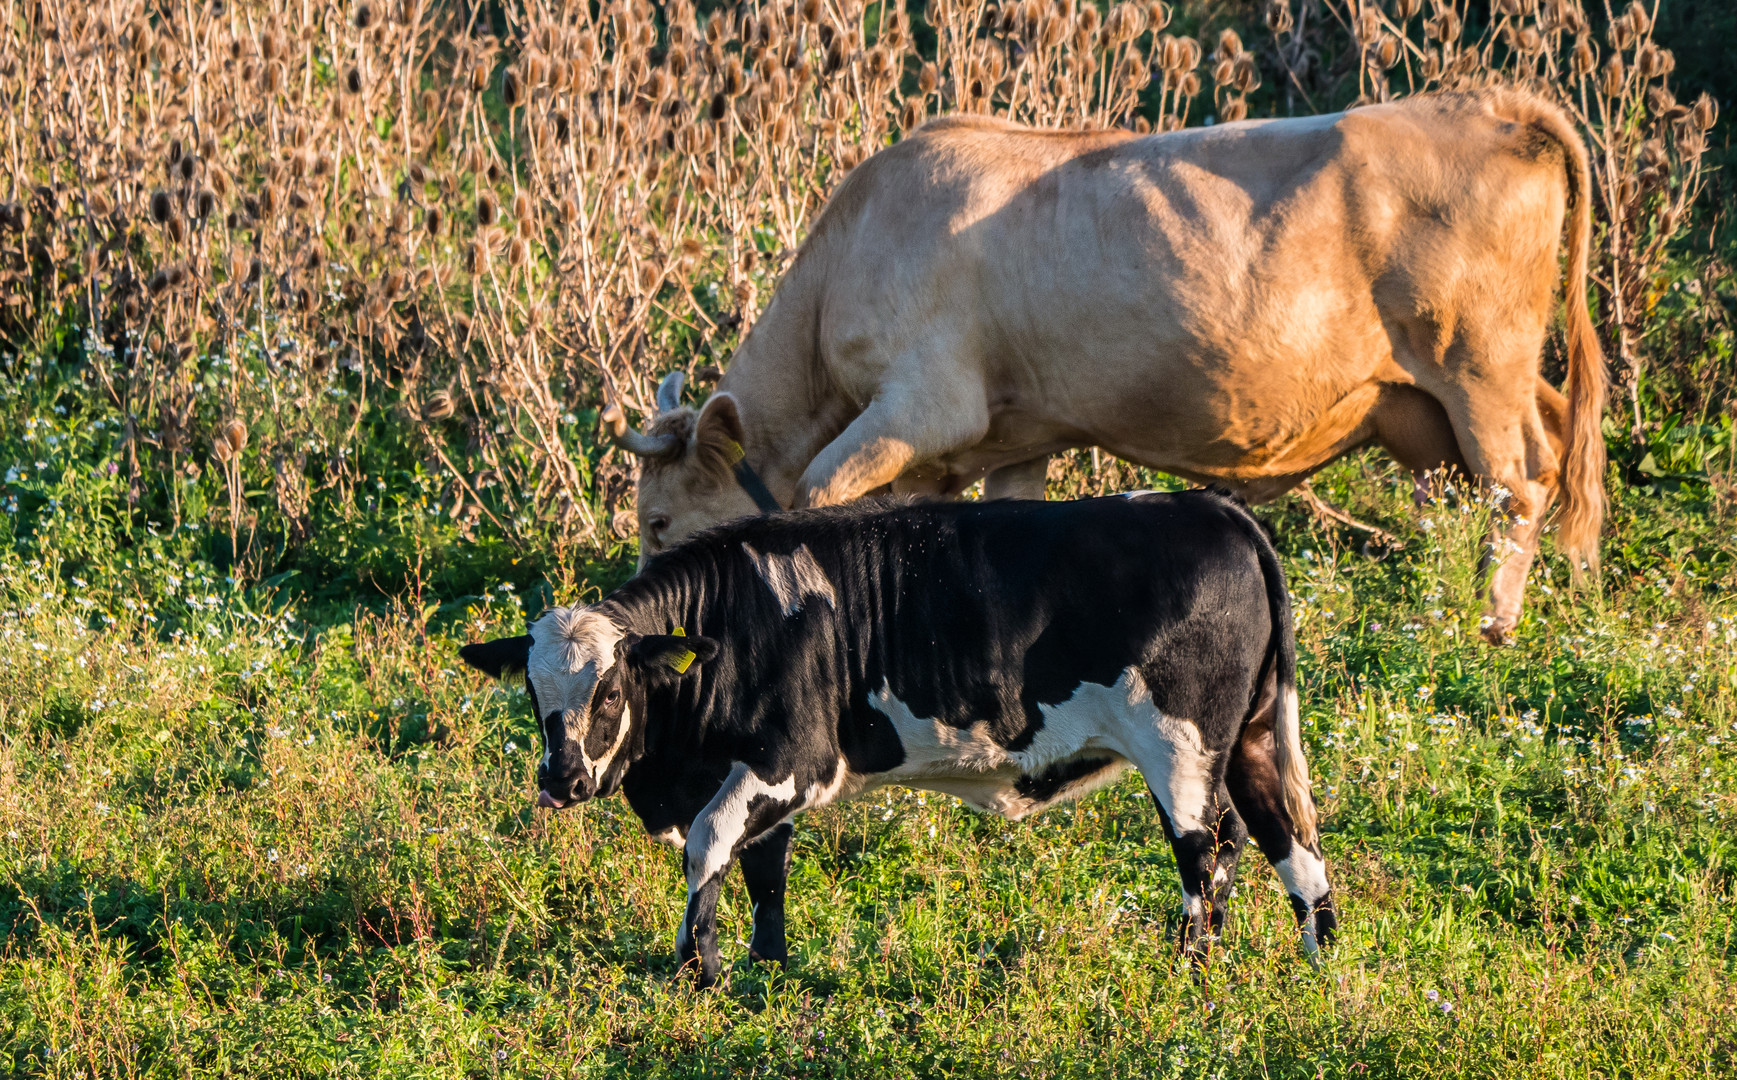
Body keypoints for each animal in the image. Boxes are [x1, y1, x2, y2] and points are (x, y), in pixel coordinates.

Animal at [458, 496, 1327, 986]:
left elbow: (708, 846)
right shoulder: (763, 778)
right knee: (1286, 842)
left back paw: (1188, 971)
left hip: (1179, 751)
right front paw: (764, 968)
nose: (562, 780)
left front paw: (697, 969)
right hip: (1249, 738)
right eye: (533, 692)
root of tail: (1218, 510)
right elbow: (763, 869)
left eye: (610, 691)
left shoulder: (791, 762)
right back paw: (1312, 970)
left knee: (1204, 853)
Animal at [607, 88, 1598, 645]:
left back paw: (1491, 622)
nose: (637, 614)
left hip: (1477, 366)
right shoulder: (1014, 435)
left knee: (1524, 482)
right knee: (1537, 452)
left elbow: (818, 493)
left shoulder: (921, 405)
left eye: (659, 522)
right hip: (1429, 399)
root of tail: (1491, 106)